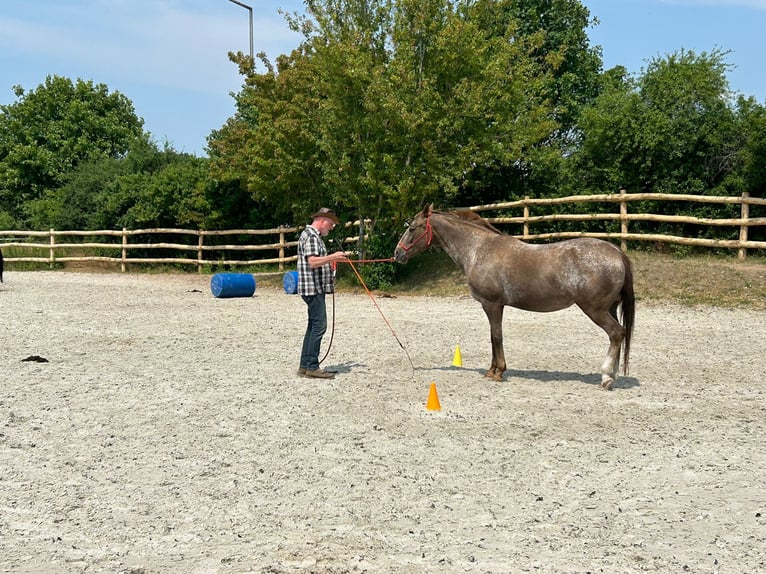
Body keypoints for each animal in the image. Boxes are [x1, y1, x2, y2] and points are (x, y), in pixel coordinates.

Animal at [396, 204, 636, 392]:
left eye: (411, 228)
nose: (397, 253)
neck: (479, 250)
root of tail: (616, 252)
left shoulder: (492, 305)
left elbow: (497, 336)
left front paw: (498, 372)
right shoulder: (494, 306)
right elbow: (493, 336)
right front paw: (492, 370)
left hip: (594, 310)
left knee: (616, 333)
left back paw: (606, 377)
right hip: (609, 308)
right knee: (618, 335)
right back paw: (612, 375)